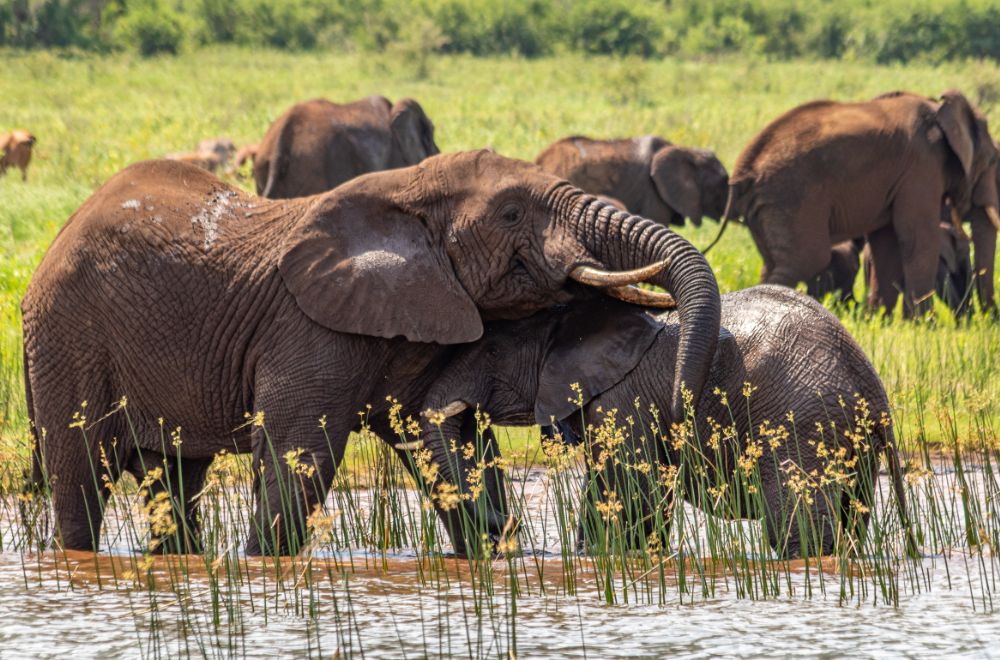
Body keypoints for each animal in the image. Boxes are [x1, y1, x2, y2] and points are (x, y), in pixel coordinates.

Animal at [21, 151, 721, 556]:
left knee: (173, 476)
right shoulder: (308, 325)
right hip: (68, 335)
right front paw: (262, 564)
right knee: (80, 474)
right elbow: (302, 452)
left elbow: (444, 436)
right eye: (511, 213)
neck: (405, 191)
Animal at [417, 286, 911, 558]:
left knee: (796, 526)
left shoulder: (622, 400)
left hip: (801, 422)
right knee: (851, 518)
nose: (506, 525)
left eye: (492, 350)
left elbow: (629, 493)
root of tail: (871, 387)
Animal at [721, 89, 999, 316]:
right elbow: (918, 237)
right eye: (993, 161)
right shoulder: (923, 167)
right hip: (791, 196)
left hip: (767, 206)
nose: (986, 320)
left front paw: (880, 321)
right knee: (806, 259)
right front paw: (925, 324)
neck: (938, 108)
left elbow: (886, 243)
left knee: (773, 263)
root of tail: (744, 169)